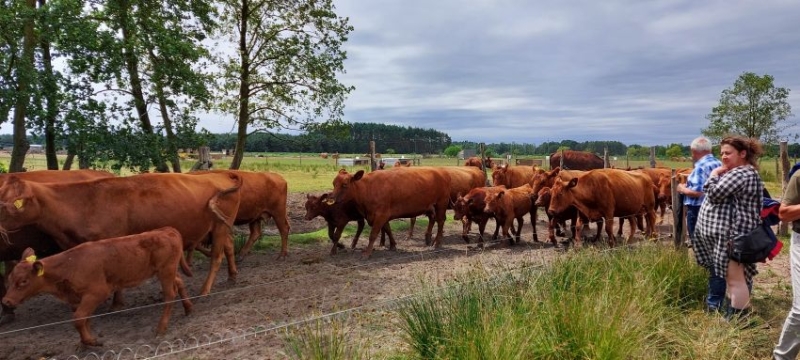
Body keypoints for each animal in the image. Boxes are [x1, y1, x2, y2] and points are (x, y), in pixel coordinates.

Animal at [0, 172, 241, 296]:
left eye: (11, 203)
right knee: (228, 247)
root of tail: (221, 175)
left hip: (220, 228)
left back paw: (205, 290)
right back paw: (232, 276)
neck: (82, 203)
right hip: (219, 228)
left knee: (217, 256)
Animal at [1, 226, 193, 348]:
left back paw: (161, 328)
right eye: (9, 279)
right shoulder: (80, 298)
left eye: (23, 281)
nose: (7, 301)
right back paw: (188, 309)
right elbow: (85, 319)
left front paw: (91, 342)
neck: (70, 264)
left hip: (166, 271)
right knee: (179, 283)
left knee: (169, 295)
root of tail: (166, 230)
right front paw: (84, 343)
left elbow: (78, 318)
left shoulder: (97, 292)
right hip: (167, 271)